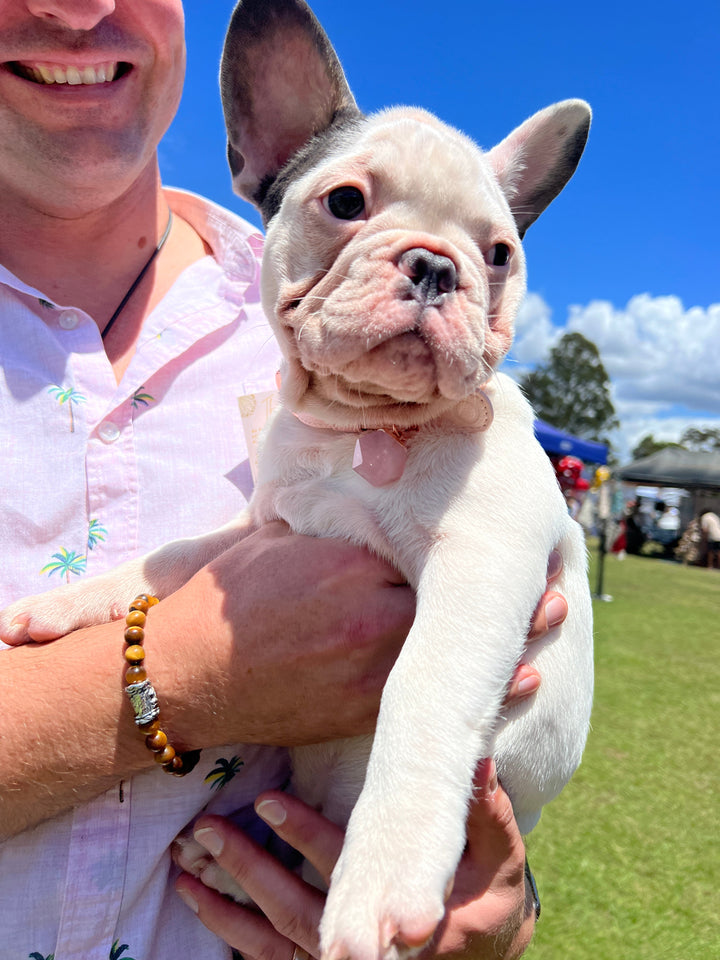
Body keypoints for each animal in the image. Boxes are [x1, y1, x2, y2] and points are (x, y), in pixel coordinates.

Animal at [1, 1, 596, 960]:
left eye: (501, 253)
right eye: (346, 203)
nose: (439, 266)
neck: (363, 433)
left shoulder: (483, 561)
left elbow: (420, 690)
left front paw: (386, 876)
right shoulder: (265, 525)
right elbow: (172, 557)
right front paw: (65, 603)